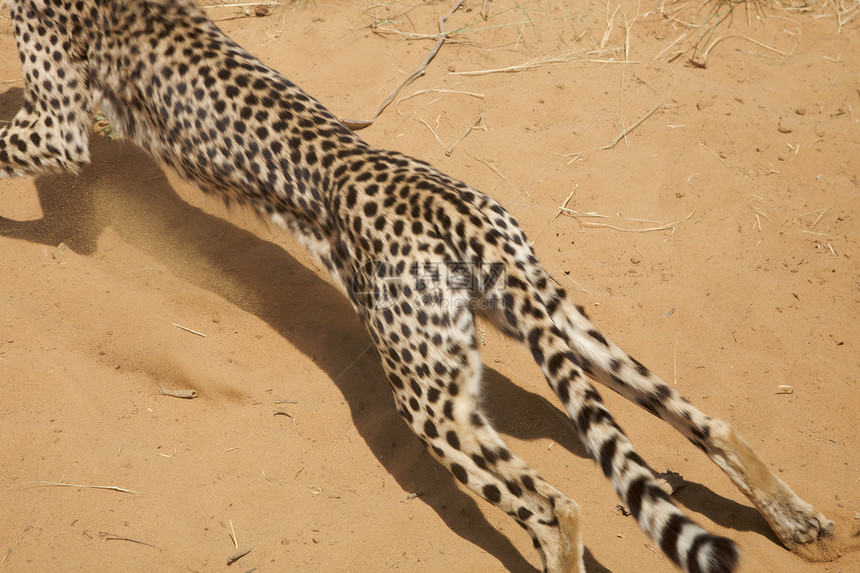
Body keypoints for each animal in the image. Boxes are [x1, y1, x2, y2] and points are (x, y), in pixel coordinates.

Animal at [0, 1, 832, 572]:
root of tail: (444, 202)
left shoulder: (58, 128)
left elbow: (4, 142)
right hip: (552, 323)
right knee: (703, 422)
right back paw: (798, 522)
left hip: (428, 396)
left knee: (556, 505)